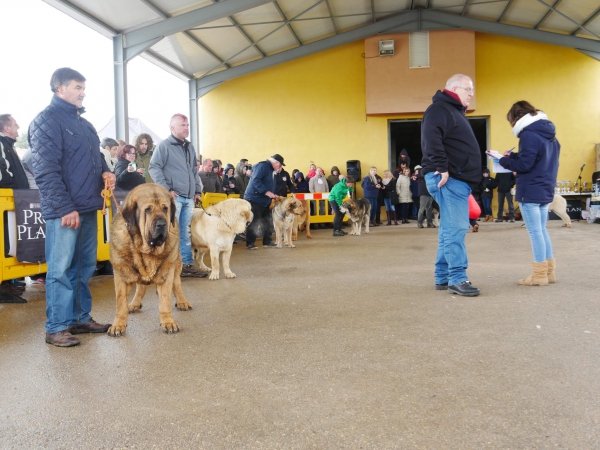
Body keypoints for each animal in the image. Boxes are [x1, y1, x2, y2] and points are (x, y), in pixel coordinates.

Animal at [108, 185, 191, 336]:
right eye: (148, 209)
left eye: (165, 208)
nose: (162, 224)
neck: (146, 250)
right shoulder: (121, 275)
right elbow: (120, 303)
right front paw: (118, 325)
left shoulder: (166, 273)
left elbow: (165, 300)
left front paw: (168, 322)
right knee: (140, 288)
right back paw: (134, 303)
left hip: (175, 266)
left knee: (177, 285)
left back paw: (182, 302)